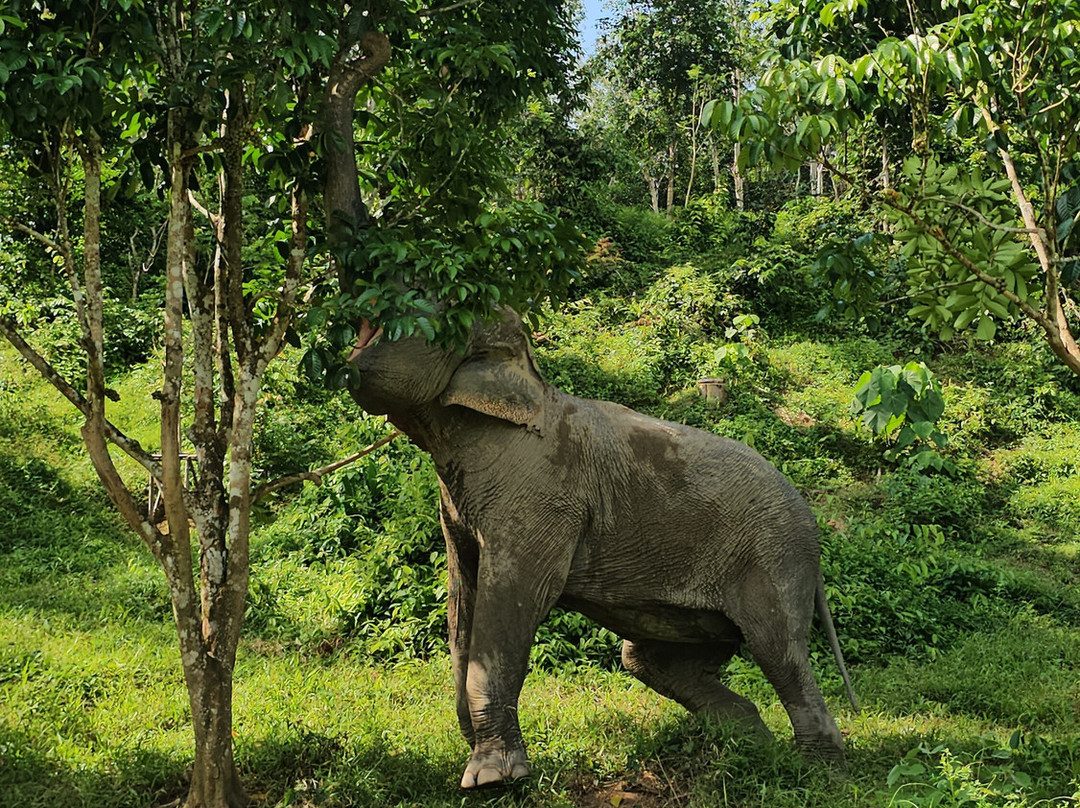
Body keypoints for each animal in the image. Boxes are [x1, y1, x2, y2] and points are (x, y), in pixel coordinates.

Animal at [346, 309, 857, 789]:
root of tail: (813, 524)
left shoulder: (541, 497)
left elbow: (515, 598)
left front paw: (494, 779)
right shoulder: (457, 506)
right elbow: (462, 600)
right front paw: (478, 755)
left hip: (773, 558)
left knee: (778, 653)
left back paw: (816, 772)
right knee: (649, 660)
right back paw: (746, 746)